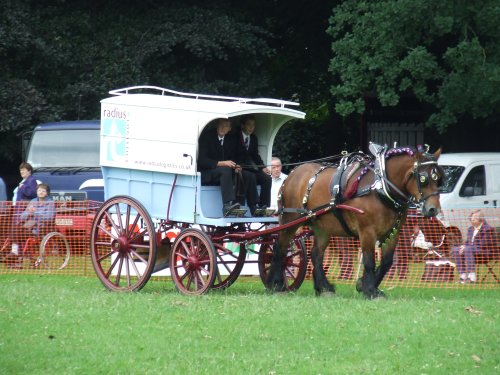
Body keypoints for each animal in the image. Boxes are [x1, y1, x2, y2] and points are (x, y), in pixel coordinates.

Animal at [268, 145, 444, 300]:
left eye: (439, 179)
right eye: (424, 179)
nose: (433, 209)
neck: (380, 188)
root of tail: (291, 175)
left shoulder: (393, 232)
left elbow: (387, 262)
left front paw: (363, 285)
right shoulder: (367, 231)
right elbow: (369, 260)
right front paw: (371, 290)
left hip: (322, 227)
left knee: (316, 254)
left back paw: (324, 288)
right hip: (291, 221)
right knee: (280, 248)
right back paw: (277, 285)